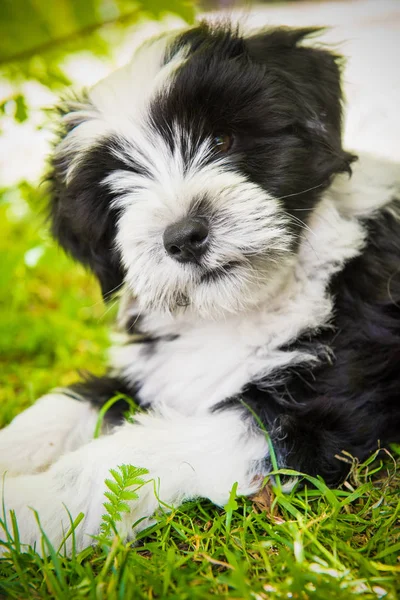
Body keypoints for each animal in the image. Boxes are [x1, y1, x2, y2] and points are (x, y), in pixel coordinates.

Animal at [2, 23, 400, 556]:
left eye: (223, 138)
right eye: (115, 189)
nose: (184, 236)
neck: (237, 310)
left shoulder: (318, 415)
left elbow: (129, 453)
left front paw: (26, 507)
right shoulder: (153, 371)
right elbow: (71, 403)